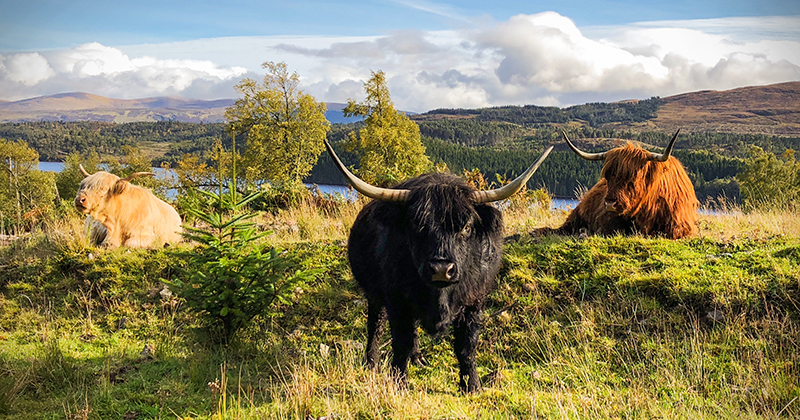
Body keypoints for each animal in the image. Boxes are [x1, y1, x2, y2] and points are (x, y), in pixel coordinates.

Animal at [324, 142, 552, 394]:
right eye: (417, 225)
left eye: (466, 227)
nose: (441, 269)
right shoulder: (396, 301)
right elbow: (400, 341)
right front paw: (399, 382)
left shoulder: (474, 302)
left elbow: (466, 346)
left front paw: (471, 386)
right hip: (374, 294)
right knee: (376, 324)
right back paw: (372, 362)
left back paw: (417, 358)